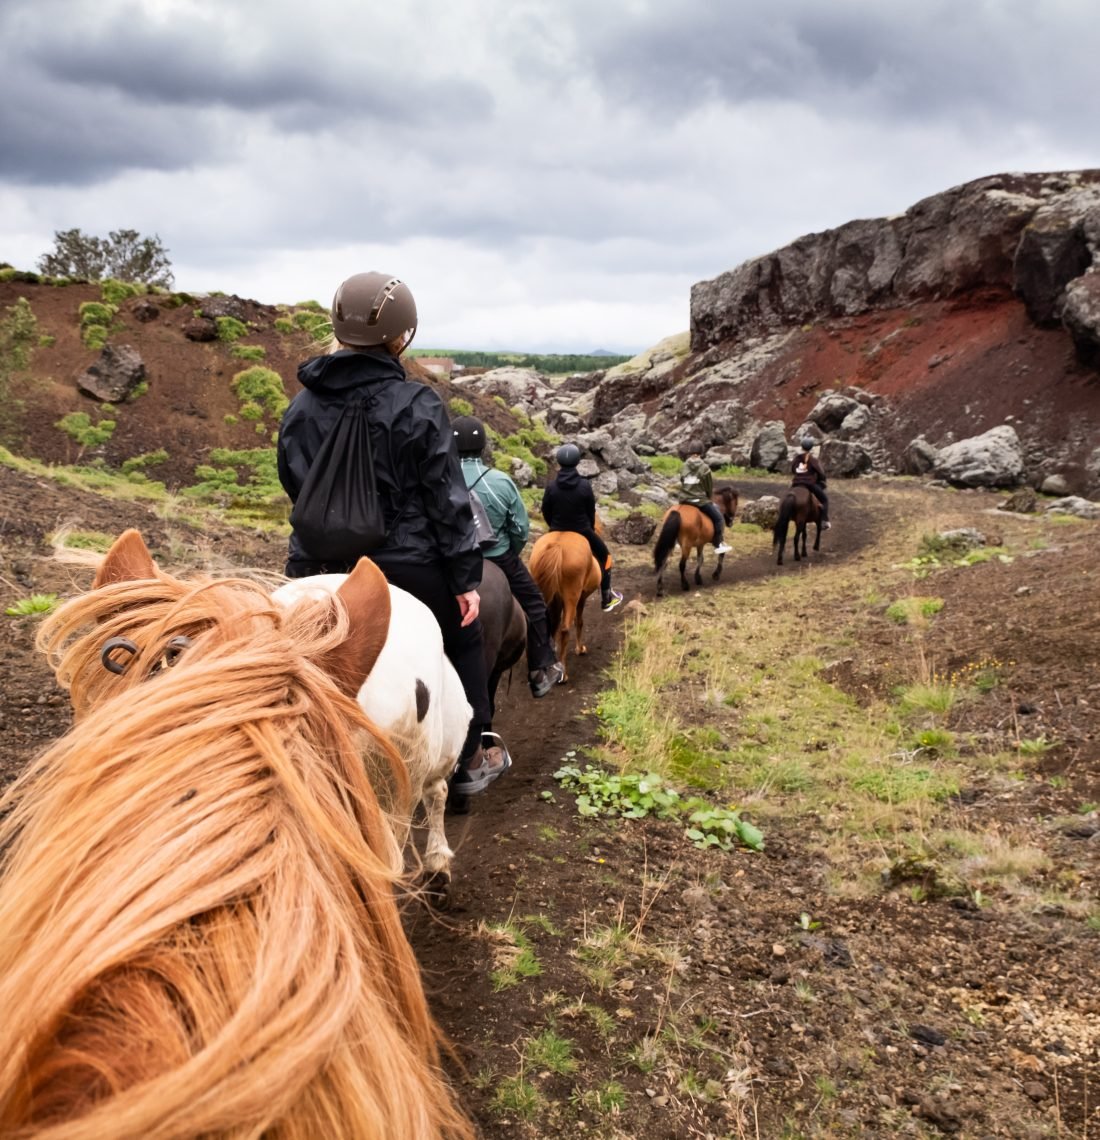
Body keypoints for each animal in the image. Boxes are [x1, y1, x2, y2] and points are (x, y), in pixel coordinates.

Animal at [528, 531, 601, 682]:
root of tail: (558, 546)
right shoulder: (581, 598)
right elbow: (579, 622)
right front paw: (580, 649)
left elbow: (553, 626)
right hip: (571, 598)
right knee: (565, 630)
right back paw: (563, 675)